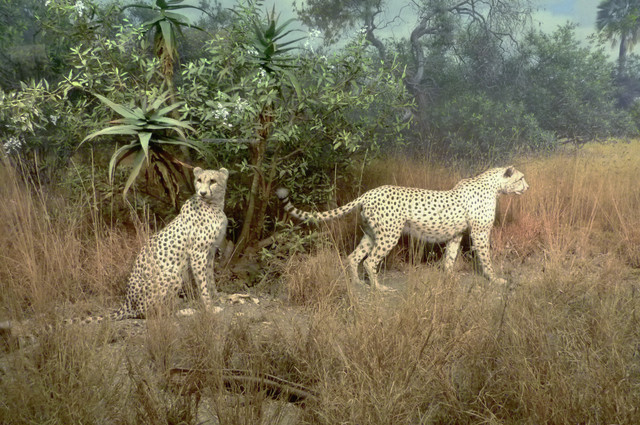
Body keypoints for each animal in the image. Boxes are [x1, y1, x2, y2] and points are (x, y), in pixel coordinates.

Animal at [69, 166, 229, 323]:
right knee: (154, 314)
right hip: (172, 275)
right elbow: (203, 283)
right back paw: (185, 311)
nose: (202, 193)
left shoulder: (210, 252)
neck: (214, 204)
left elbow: (210, 279)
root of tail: (128, 303)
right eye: (199, 180)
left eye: (213, 181)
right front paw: (210, 308)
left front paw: (218, 298)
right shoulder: (198, 254)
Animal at [276, 166, 528, 290]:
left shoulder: (456, 234)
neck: (494, 186)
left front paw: (448, 277)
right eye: (521, 178)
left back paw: (358, 283)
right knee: (370, 261)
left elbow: (450, 257)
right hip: (389, 236)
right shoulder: (480, 232)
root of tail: (370, 192)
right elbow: (486, 258)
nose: (527, 187)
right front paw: (495, 279)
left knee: (353, 257)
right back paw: (379, 288)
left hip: (371, 234)